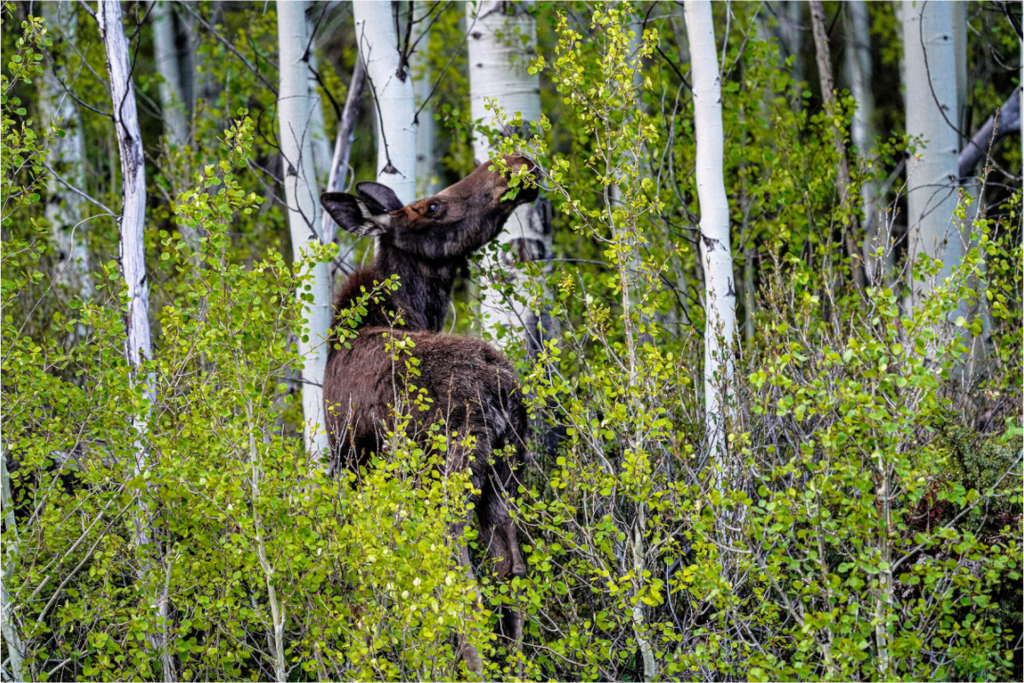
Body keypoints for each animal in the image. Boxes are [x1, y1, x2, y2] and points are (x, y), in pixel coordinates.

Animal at [319, 155, 538, 674]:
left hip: (453, 473)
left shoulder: (353, 468)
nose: (516, 163)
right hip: (508, 473)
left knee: (461, 577)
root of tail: (499, 389)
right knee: (511, 571)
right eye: (432, 206)